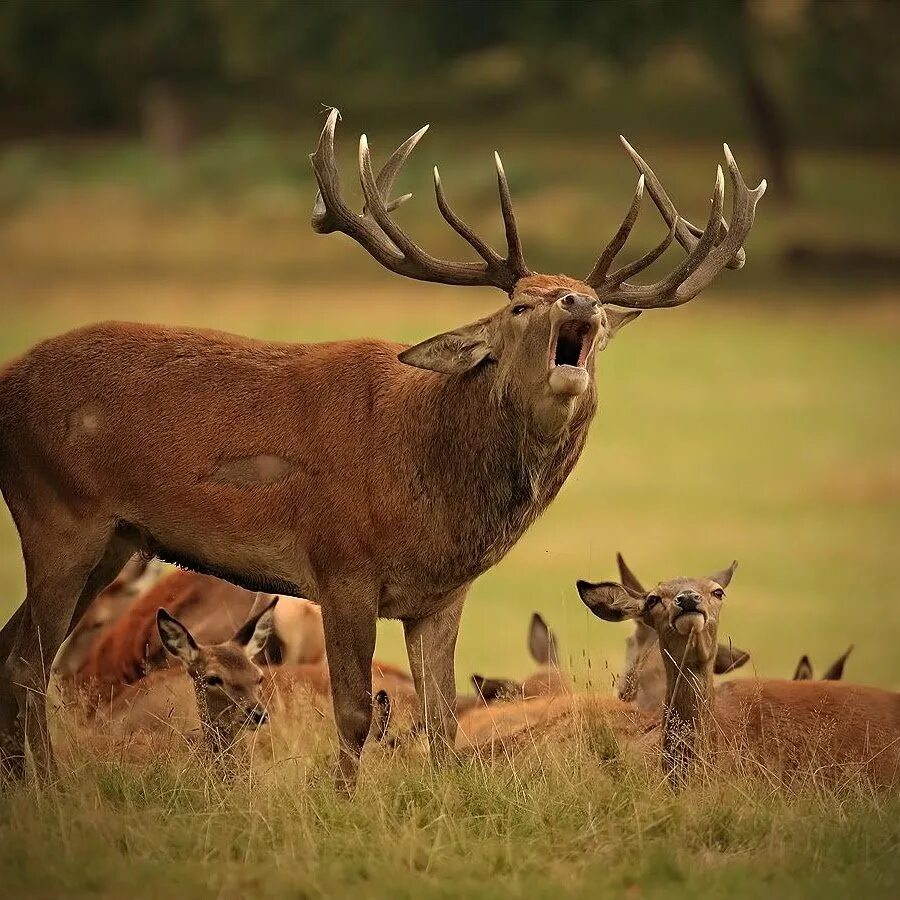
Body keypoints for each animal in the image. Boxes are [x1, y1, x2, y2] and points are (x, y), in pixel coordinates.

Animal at [0, 107, 768, 788]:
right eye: (522, 304)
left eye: (598, 310)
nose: (580, 303)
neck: (428, 481)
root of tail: (8, 382)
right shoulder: (340, 565)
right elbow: (354, 713)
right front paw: (341, 801)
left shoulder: (442, 594)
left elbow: (443, 720)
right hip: (58, 513)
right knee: (27, 662)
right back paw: (50, 789)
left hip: (115, 539)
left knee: (17, 648)